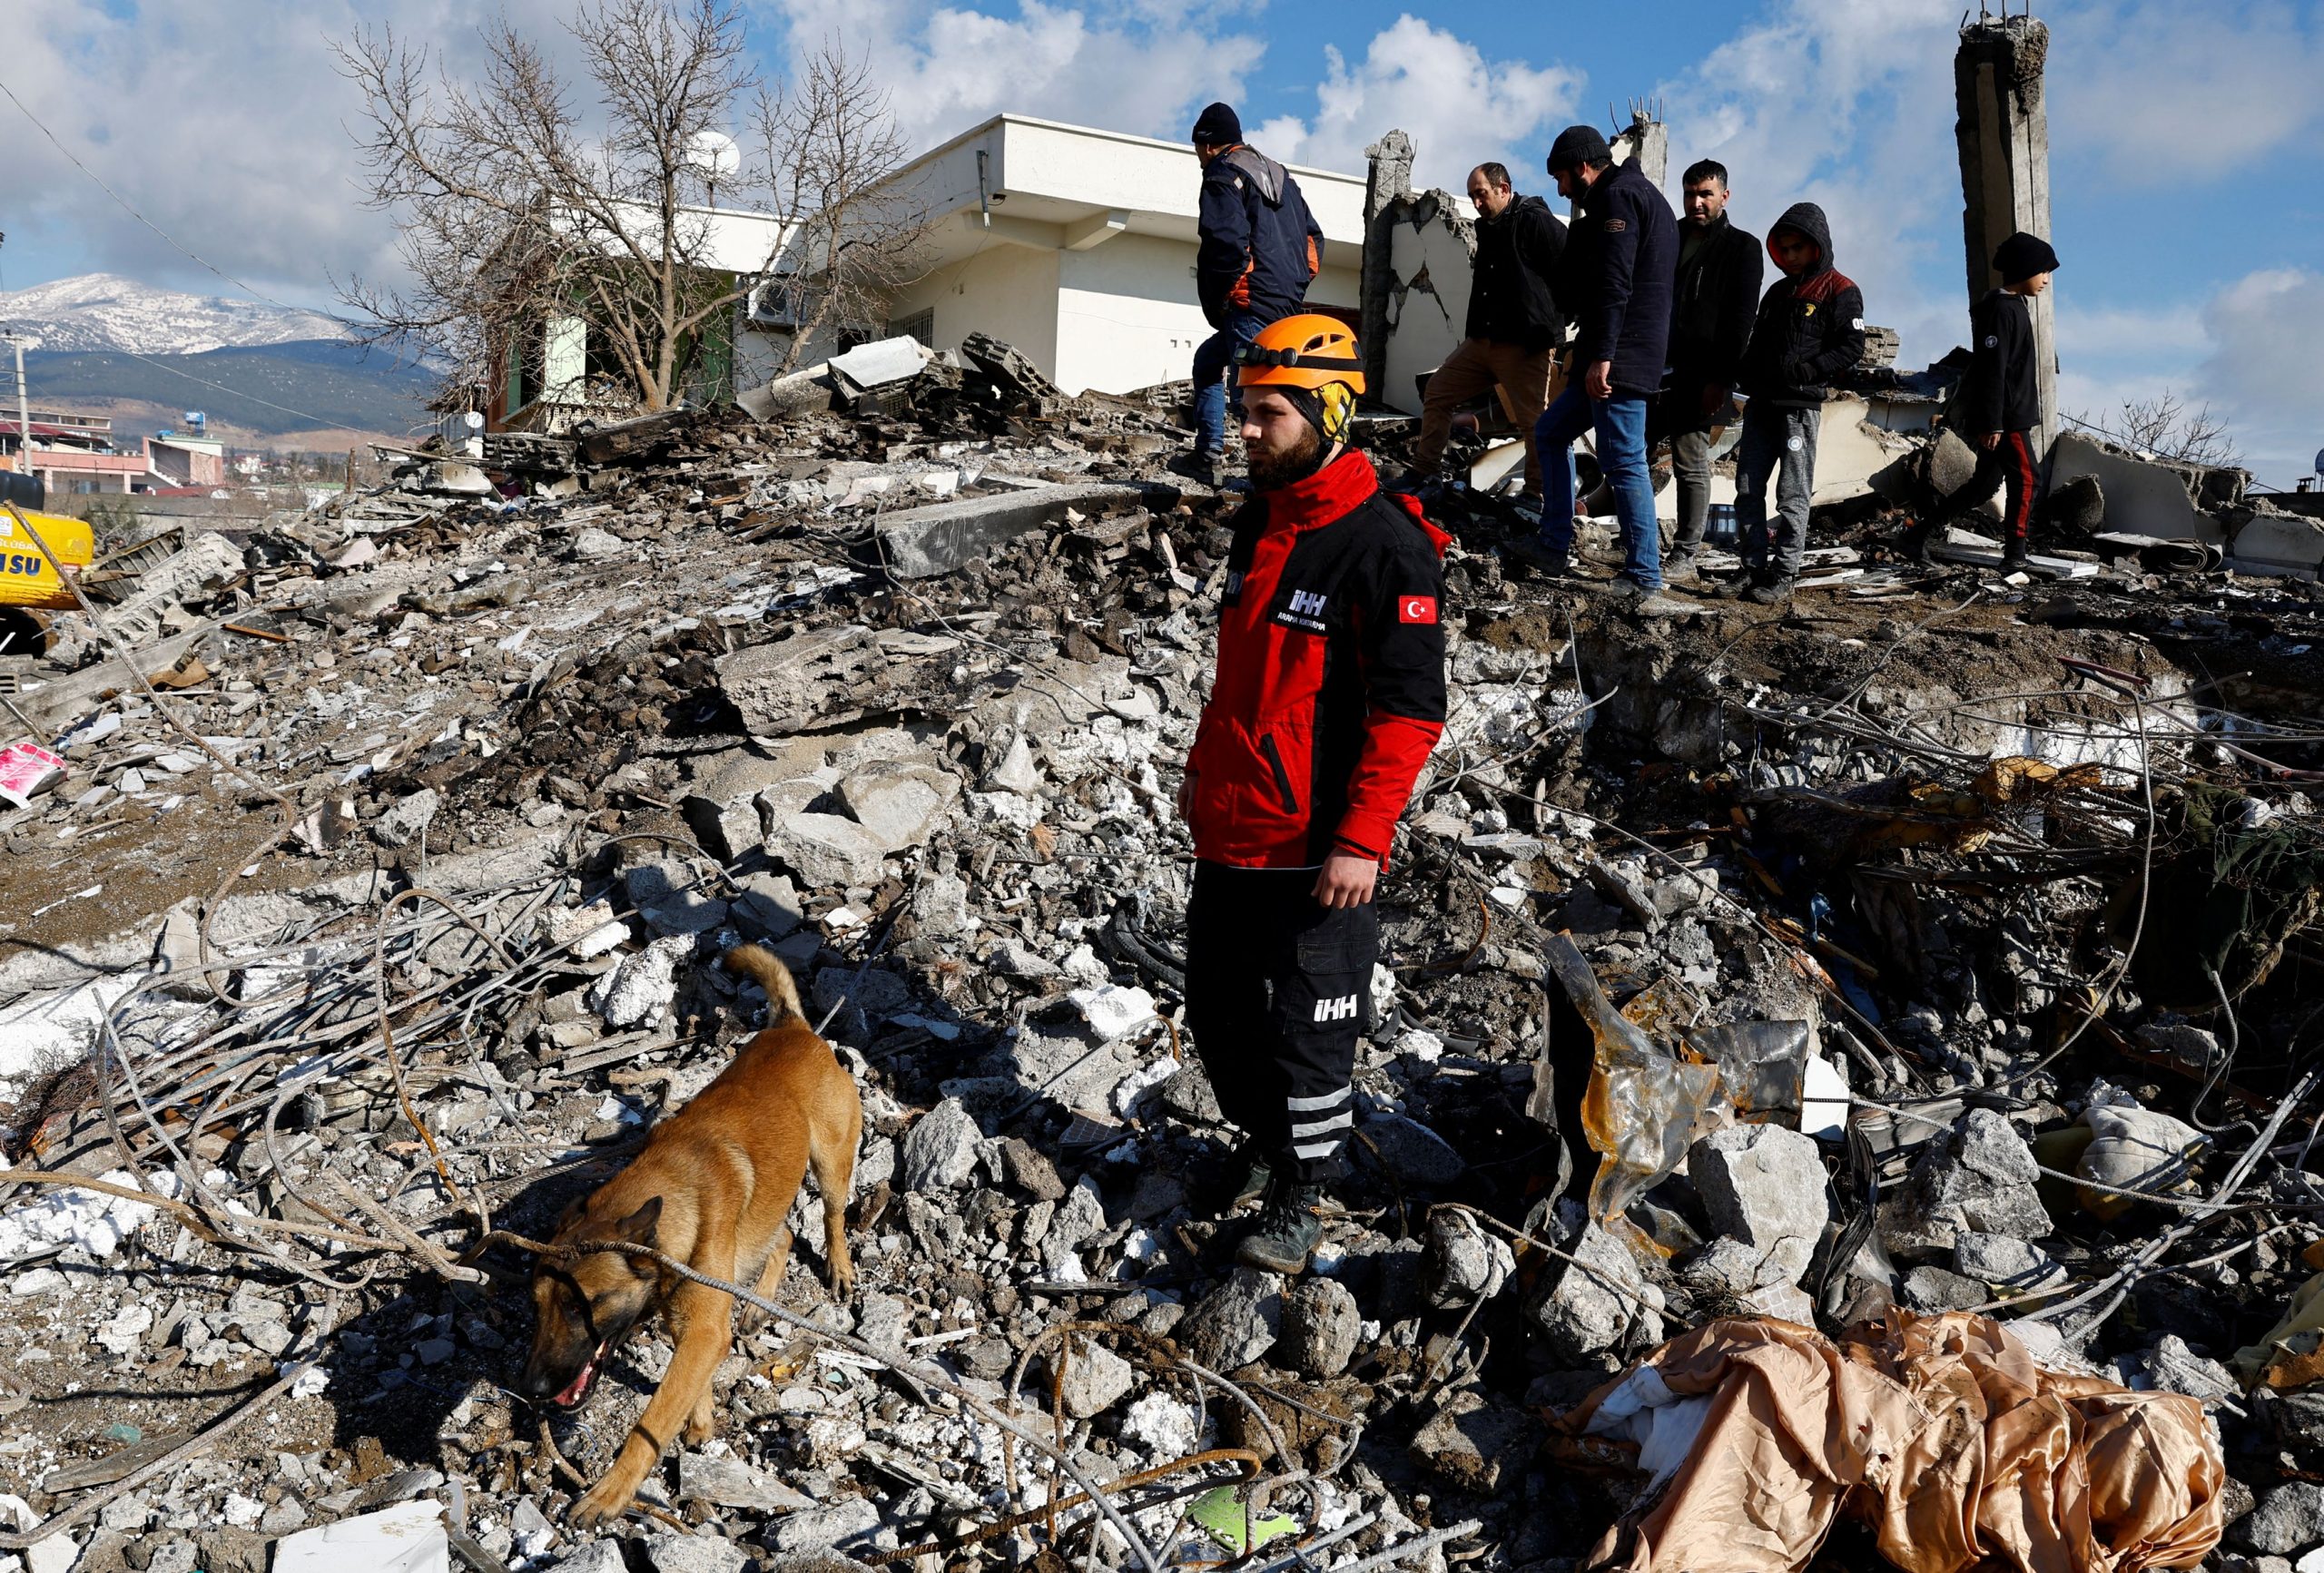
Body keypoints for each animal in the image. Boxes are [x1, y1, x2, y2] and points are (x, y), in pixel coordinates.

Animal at [517, 943, 864, 1524]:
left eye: (580, 1304)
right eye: (537, 1306)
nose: (537, 1389)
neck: (674, 1192)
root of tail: (793, 1029)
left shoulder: (700, 1329)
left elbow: (651, 1420)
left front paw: (609, 1493)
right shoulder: (692, 1324)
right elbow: (691, 1379)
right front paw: (699, 1421)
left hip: (831, 1165)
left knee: (833, 1219)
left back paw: (838, 1266)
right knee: (782, 1239)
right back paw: (757, 1304)